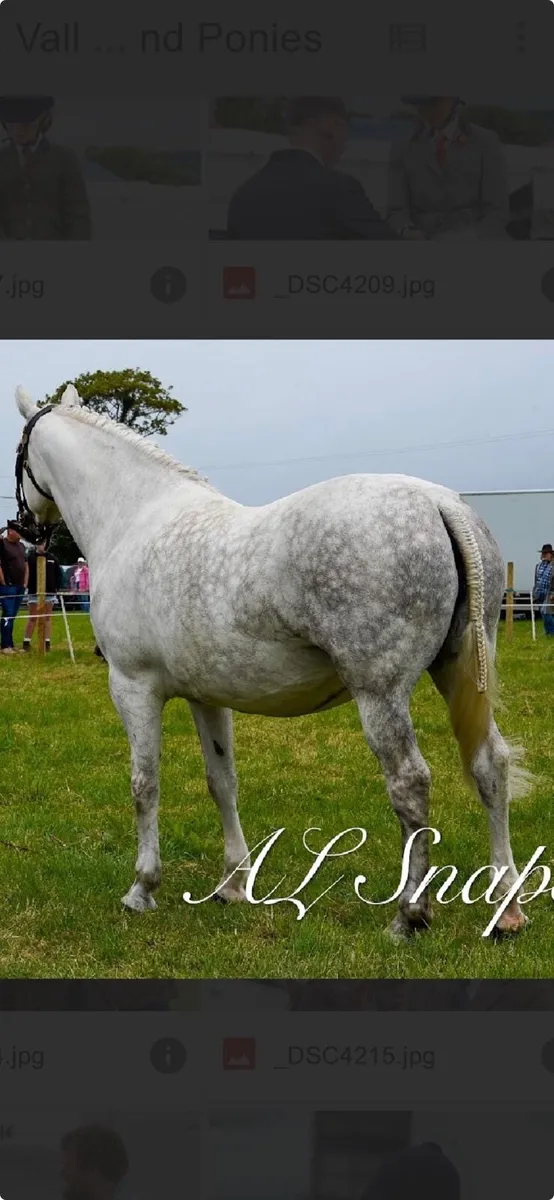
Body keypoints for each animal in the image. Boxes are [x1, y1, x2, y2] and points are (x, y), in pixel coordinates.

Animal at [14, 383, 531, 938]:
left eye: (19, 452)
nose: (24, 526)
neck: (135, 518)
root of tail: (438, 504)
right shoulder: (206, 697)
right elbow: (222, 782)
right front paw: (234, 884)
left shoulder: (133, 687)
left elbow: (144, 784)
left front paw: (142, 889)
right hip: (456, 672)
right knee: (490, 765)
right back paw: (507, 909)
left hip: (380, 693)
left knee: (410, 783)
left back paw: (409, 915)